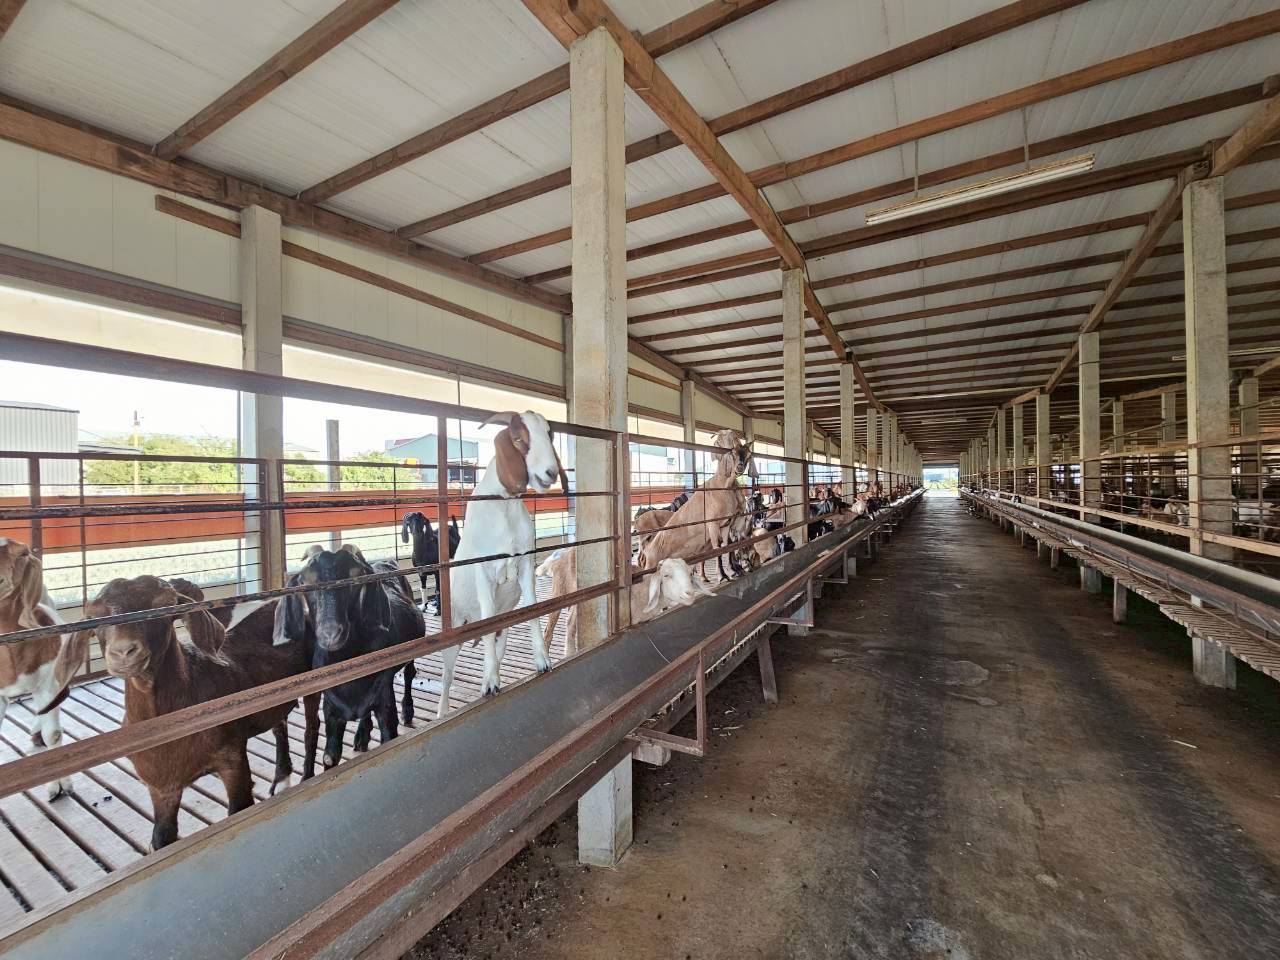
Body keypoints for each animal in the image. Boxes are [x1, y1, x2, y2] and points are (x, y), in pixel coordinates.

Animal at [87, 576, 306, 850]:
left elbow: (239, 809)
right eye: (95, 616)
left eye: (165, 605)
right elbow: (161, 837)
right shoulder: (161, 787)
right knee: (280, 724)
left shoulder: (232, 758)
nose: (123, 652)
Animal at [276, 543, 424, 772]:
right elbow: (330, 757)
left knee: (409, 673)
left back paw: (407, 711)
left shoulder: (384, 697)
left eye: (356, 576)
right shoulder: (331, 710)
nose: (331, 632)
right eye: (305, 581)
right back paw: (362, 736)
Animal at [433, 410, 568, 717]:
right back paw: (443, 711)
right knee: (446, 676)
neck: (504, 508)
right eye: (518, 438)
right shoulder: (483, 571)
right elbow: (487, 615)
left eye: (549, 434)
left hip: (502, 633)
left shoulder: (526, 564)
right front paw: (490, 683)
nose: (550, 473)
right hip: (454, 629)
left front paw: (542, 661)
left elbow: (533, 610)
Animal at [535, 551, 713, 656]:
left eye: (690, 573)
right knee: (549, 628)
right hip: (560, 590)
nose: (689, 593)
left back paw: (570, 652)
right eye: (666, 575)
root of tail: (558, 558)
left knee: (570, 622)